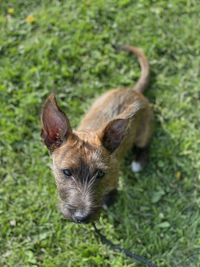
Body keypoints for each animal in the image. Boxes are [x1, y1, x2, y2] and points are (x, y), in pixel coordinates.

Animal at [40, 45, 153, 224]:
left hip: (144, 130)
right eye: (66, 172)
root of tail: (133, 91)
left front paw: (109, 199)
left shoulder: (114, 174)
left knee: (145, 144)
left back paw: (139, 161)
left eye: (100, 173)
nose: (81, 217)